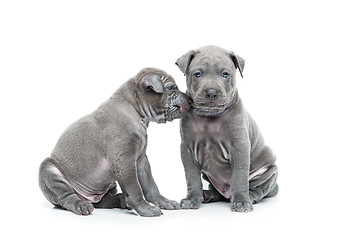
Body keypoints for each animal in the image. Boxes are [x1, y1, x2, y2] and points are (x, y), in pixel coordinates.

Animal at [38, 66, 191, 217]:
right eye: (171, 87)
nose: (190, 99)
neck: (136, 111)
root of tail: (88, 198)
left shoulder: (141, 161)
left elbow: (150, 186)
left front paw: (163, 202)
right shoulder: (124, 162)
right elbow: (135, 189)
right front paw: (145, 209)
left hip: (109, 185)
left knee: (102, 200)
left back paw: (120, 200)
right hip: (49, 171)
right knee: (66, 197)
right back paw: (81, 205)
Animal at [174, 46, 278, 212]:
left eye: (225, 74)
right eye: (198, 74)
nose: (211, 92)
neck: (209, 116)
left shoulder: (239, 146)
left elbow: (239, 176)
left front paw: (241, 202)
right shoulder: (187, 149)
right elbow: (192, 177)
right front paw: (192, 199)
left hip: (268, 171)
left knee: (257, 188)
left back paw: (248, 197)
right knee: (218, 193)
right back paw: (207, 195)